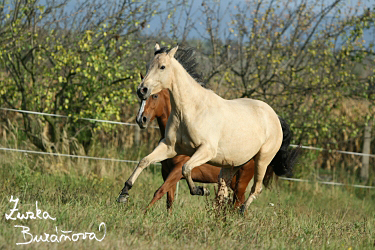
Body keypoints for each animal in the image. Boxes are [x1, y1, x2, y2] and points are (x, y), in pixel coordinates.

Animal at [118, 44, 300, 213]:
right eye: (149, 65)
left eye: (162, 66)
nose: (142, 90)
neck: (191, 110)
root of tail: (275, 117)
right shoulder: (169, 147)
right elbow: (144, 161)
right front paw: (124, 194)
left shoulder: (205, 151)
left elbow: (185, 169)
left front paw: (200, 190)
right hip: (229, 167)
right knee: (223, 196)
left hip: (261, 161)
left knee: (254, 190)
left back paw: (241, 212)